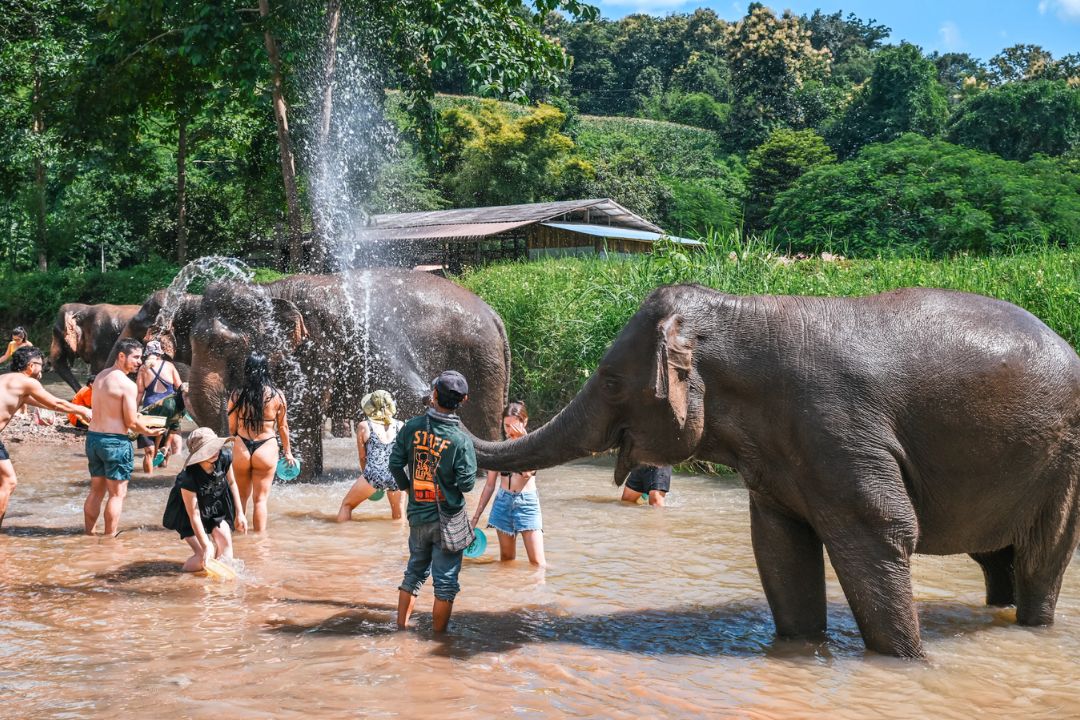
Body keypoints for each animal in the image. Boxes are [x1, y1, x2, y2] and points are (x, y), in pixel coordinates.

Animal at [186, 268, 511, 479]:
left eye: (224, 346)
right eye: (191, 343)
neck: (270, 290)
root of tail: (495, 316)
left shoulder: (315, 352)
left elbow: (300, 414)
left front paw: (296, 478)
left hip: (478, 364)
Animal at [473, 285, 1080, 658]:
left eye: (610, 381)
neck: (742, 311)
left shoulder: (842, 432)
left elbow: (882, 531)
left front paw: (910, 663)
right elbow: (779, 546)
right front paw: (802, 650)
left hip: (1065, 463)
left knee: (1039, 563)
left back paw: (1032, 622)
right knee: (995, 559)